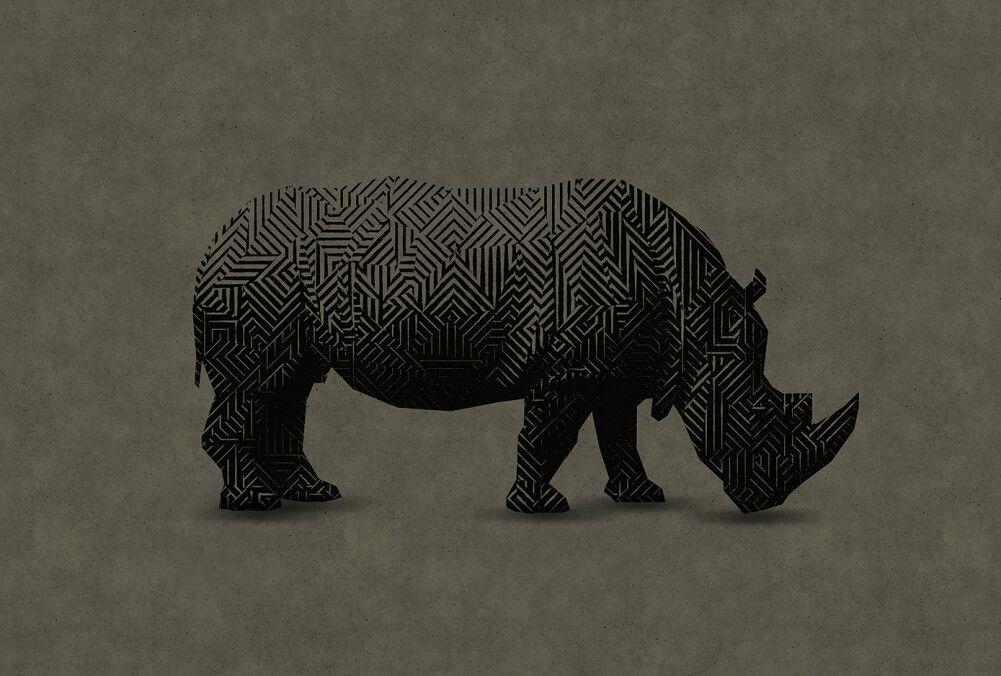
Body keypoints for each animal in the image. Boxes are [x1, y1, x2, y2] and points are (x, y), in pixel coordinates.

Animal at [193, 178, 859, 514]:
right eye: (759, 412)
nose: (767, 502)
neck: (698, 317)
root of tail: (214, 240)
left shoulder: (620, 365)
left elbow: (620, 431)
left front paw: (643, 497)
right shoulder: (571, 367)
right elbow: (552, 435)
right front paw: (543, 507)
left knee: (290, 384)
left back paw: (313, 494)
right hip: (255, 279)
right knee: (258, 384)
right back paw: (254, 504)